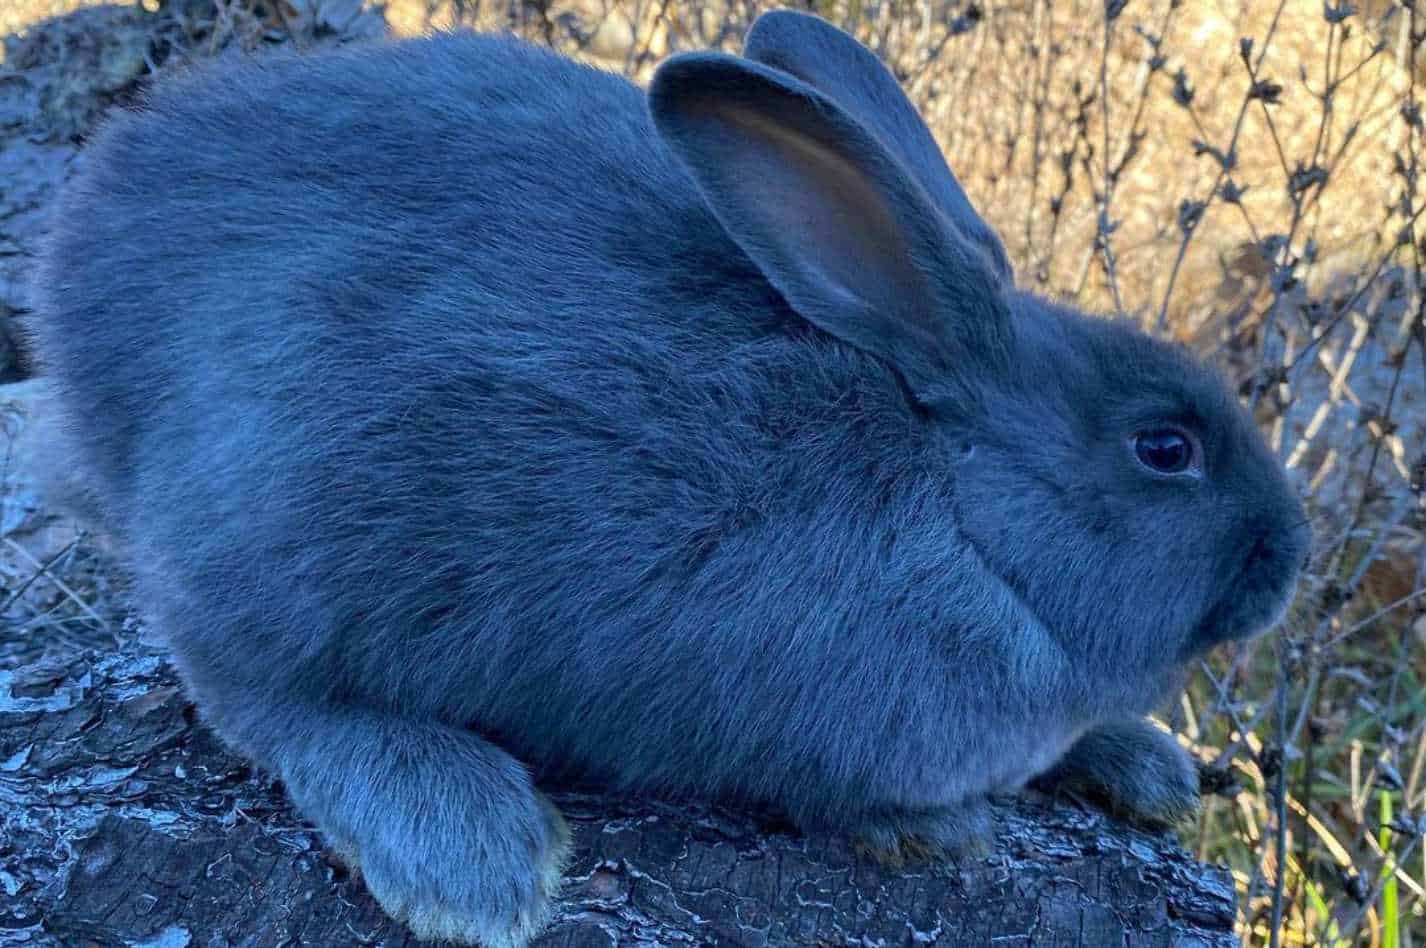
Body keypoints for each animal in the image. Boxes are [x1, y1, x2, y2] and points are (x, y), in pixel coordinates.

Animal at [25, 9, 1311, 946]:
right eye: (1165, 449)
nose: (1286, 558)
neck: (964, 510)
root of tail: (82, 305)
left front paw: (1139, 760)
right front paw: (944, 829)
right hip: (285, 513)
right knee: (255, 691)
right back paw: (468, 849)